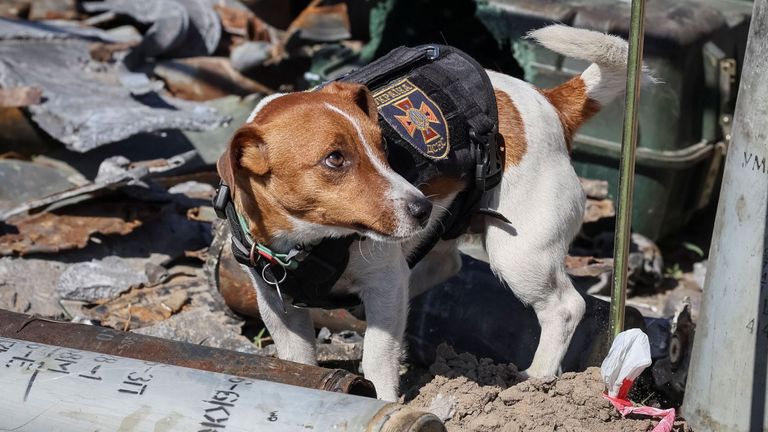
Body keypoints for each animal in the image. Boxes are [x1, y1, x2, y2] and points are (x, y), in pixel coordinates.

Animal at [218, 25, 636, 400]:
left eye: (384, 147)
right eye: (335, 159)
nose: (422, 207)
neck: (305, 241)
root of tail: (549, 103)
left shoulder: (384, 281)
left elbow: (378, 357)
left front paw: (382, 401)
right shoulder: (278, 307)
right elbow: (297, 361)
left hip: (520, 254)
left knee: (565, 307)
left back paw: (537, 378)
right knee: (444, 264)